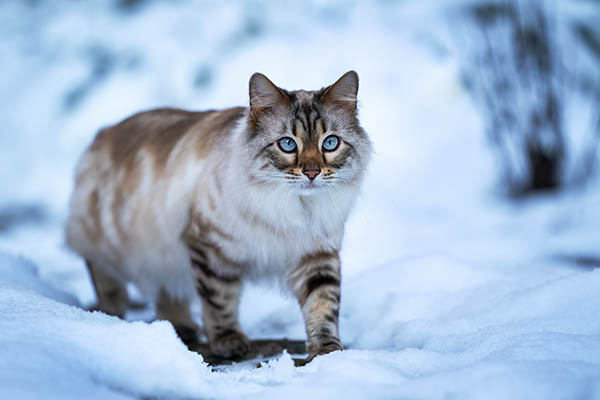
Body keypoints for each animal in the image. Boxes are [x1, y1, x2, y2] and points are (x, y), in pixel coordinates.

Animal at [68, 70, 372, 360]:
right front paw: (229, 341)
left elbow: (322, 306)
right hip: (115, 246)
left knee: (168, 296)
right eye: (287, 144)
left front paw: (326, 350)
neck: (296, 208)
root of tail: (105, 132)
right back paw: (111, 316)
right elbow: (219, 302)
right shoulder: (212, 249)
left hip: (166, 260)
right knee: (107, 282)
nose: (311, 172)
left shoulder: (316, 254)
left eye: (330, 143)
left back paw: (182, 331)